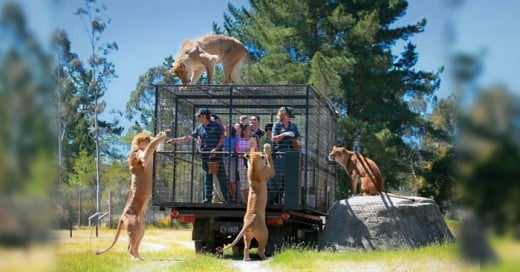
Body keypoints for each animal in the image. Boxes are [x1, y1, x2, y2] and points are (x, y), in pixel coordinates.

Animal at [97, 131, 169, 260]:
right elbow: (151, 147)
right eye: (147, 138)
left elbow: (157, 151)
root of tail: (122, 216)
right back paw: (135, 259)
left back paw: (140, 257)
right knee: (129, 248)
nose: (152, 136)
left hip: (141, 229)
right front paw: (160, 136)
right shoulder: (143, 157)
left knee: (133, 246)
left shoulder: (155, 159)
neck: (136, 147)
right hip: (134, 227)